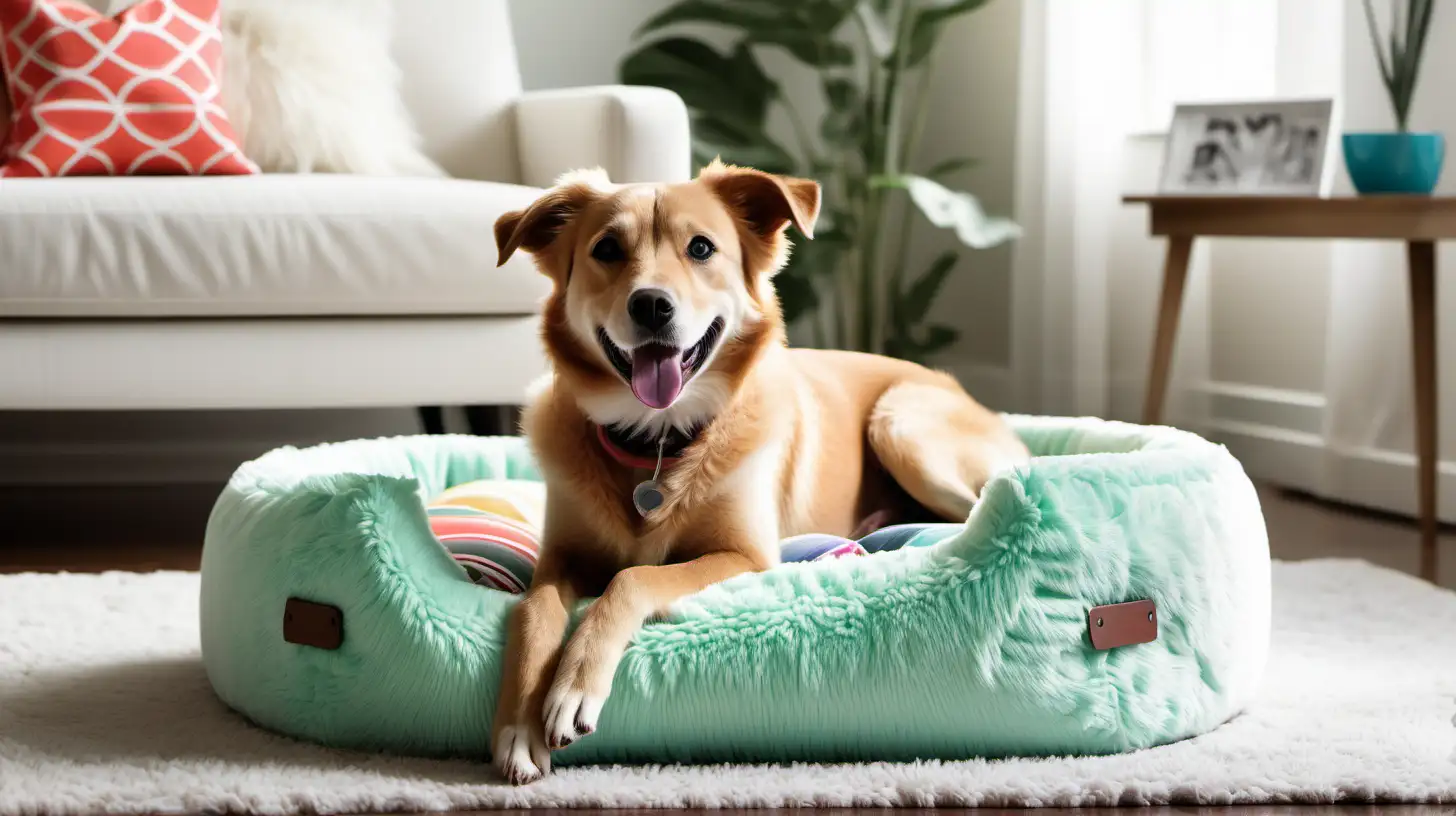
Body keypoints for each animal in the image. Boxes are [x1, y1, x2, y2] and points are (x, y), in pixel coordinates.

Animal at [486, 161, 1025, 786]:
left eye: (701, 248)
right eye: (606, 249)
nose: (652, 306)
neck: (657, 441)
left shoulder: (745, 555)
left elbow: (633, 579)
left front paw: (575, 684)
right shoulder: (558, 558)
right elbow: (534, 609)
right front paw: (518, 725)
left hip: (903, 428)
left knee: (972, 510)